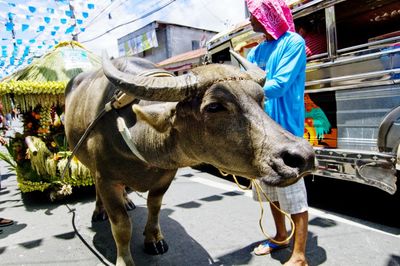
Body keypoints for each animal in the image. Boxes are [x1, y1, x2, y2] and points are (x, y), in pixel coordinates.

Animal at [64, 50, 316, 266]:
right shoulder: (106, 179)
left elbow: (154, 205)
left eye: (260, 98)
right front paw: (124, 259)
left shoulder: (166, 176)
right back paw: (99, 211)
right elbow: (122, 226)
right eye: (214, 106)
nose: (303, 155)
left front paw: (154, 239)